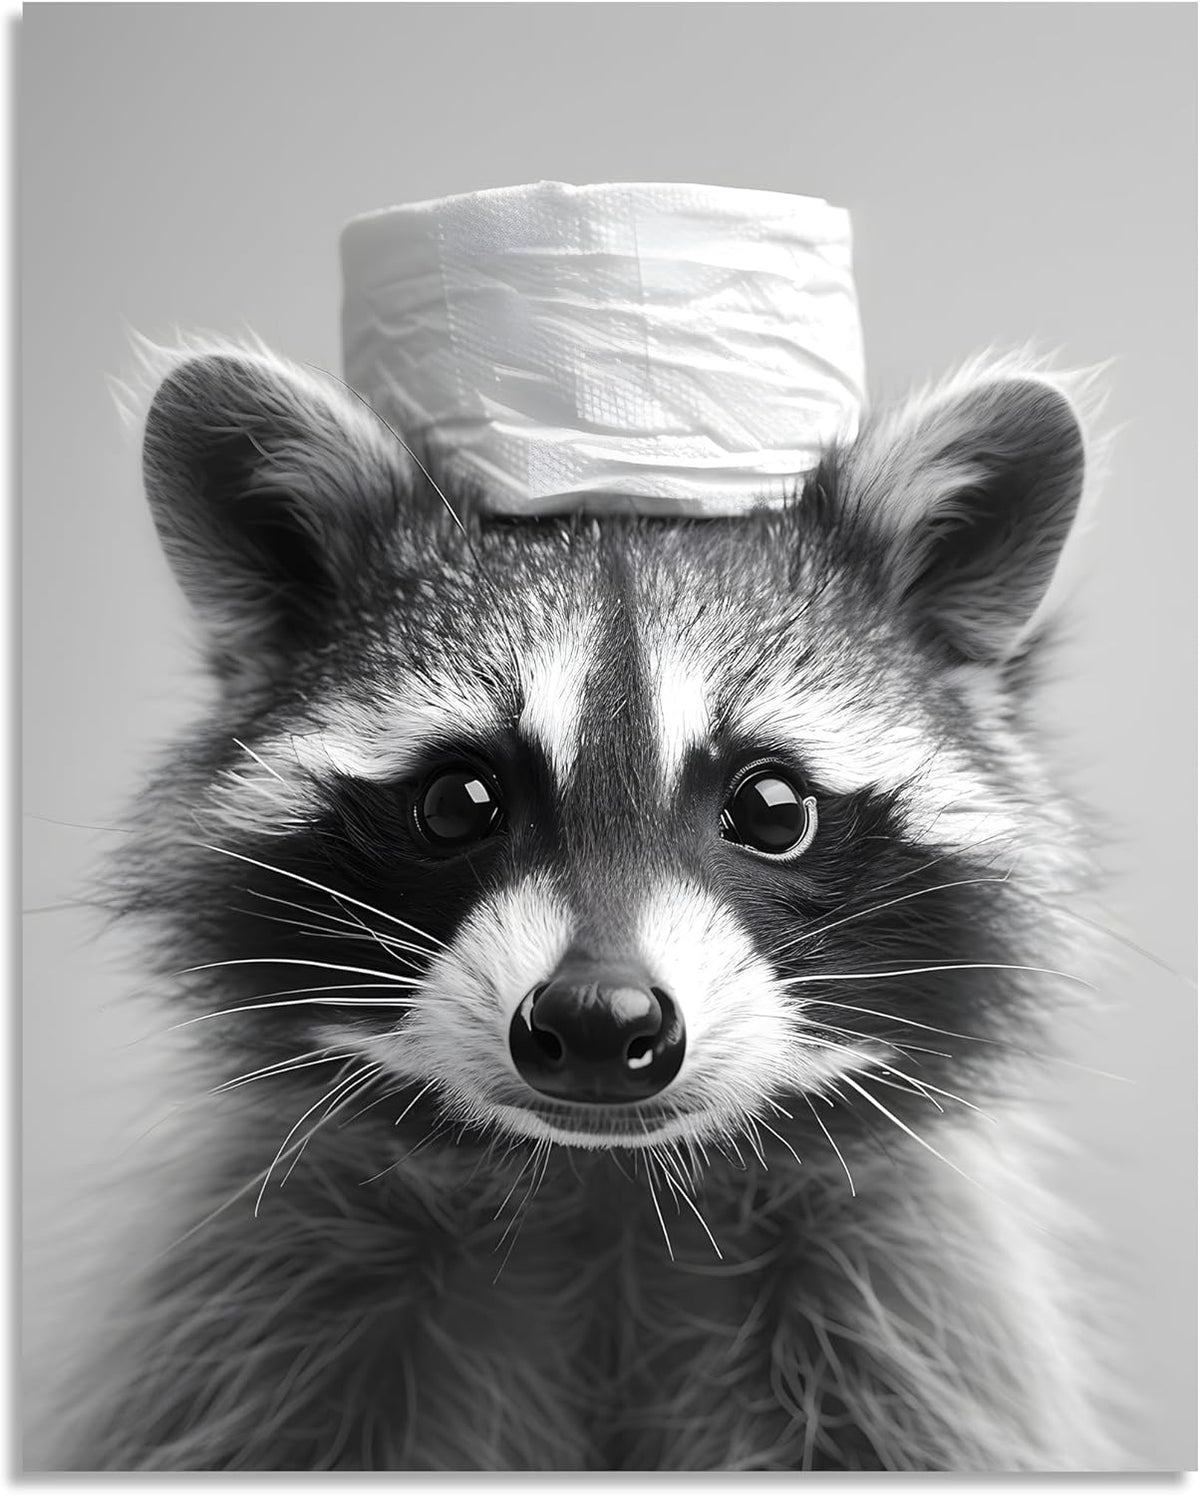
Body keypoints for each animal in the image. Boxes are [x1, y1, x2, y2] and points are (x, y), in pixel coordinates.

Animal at [62, 340, 1114, 1470]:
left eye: (772, 809)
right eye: (458, 801)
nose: (602, 1019)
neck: (605, 1189)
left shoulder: (908, 1316)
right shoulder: (265, 1307)